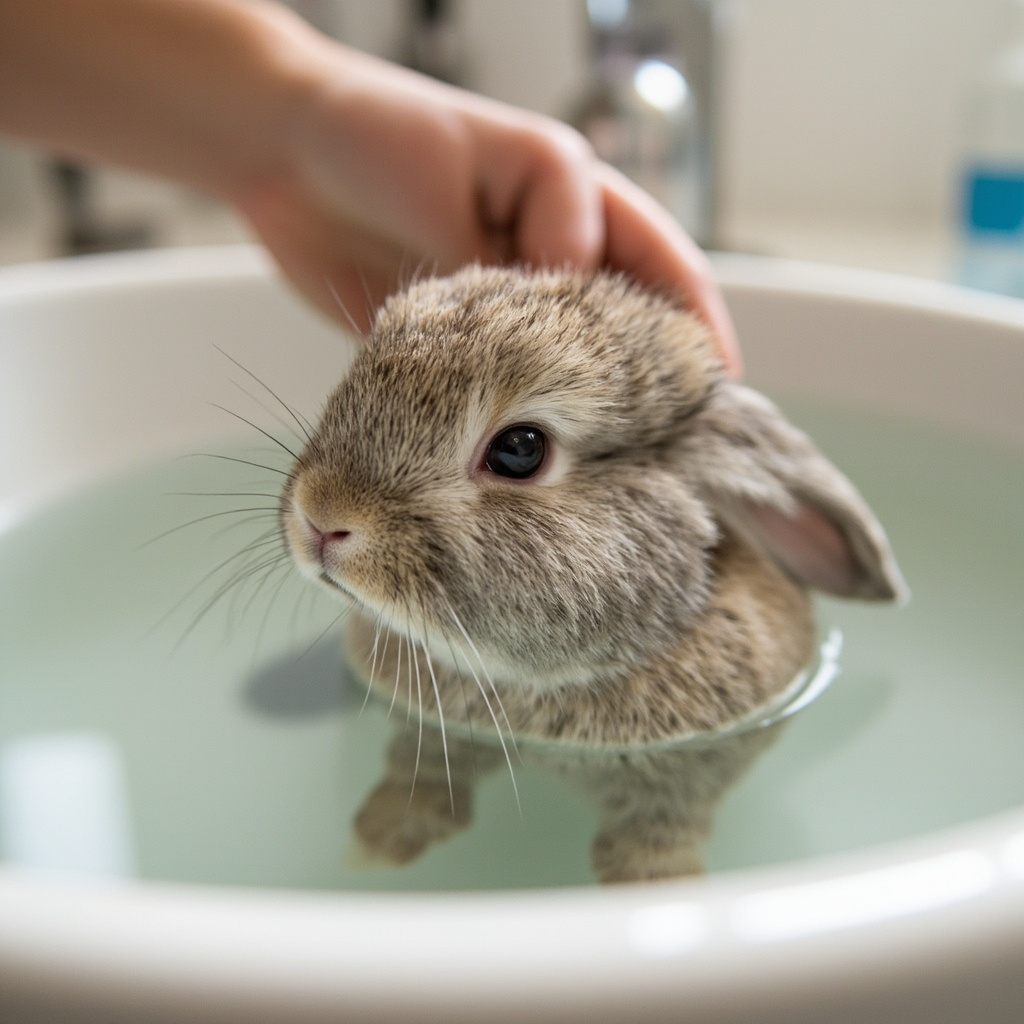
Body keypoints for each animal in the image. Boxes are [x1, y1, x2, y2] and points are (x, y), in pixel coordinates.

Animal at [278, 264, 905, 880]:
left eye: (520, 450)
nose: (322, 517)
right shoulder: (434, 734)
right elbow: (423, 773)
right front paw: (378, 842)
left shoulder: (687, 774)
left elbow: (656, 830)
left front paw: (651, 880)